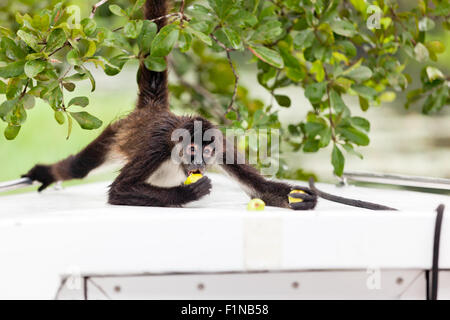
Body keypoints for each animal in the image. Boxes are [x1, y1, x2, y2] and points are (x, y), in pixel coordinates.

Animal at [21, 0, 316, 210]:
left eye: (206, 152)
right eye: (193, 149)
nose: (198, 161)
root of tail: (154, 109)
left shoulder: (222, 148)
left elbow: (261, 190)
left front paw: (302, 198)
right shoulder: (157, 147)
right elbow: (119, 190)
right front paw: (186, 193)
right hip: (118, 130)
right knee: (79, 168)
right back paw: (48, 173)